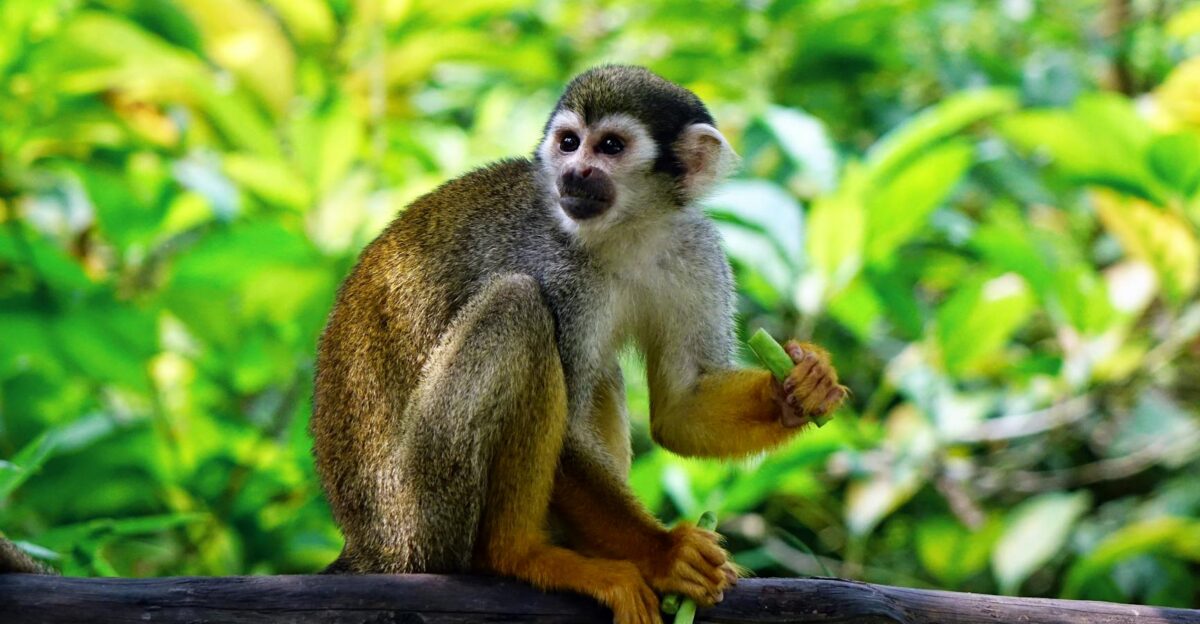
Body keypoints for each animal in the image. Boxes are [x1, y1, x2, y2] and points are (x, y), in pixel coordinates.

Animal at [308, 65, 846, 624]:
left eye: (609, 146)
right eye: (569, 143)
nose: (576, 173)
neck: (627, 231)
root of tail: (368, 547)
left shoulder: (694, 249)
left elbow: (682, 408)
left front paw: (801, 387)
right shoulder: (556, 268)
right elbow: (566, 433)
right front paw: (665, 554)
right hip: (423, 513)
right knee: (519, 307)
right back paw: (521, 555)